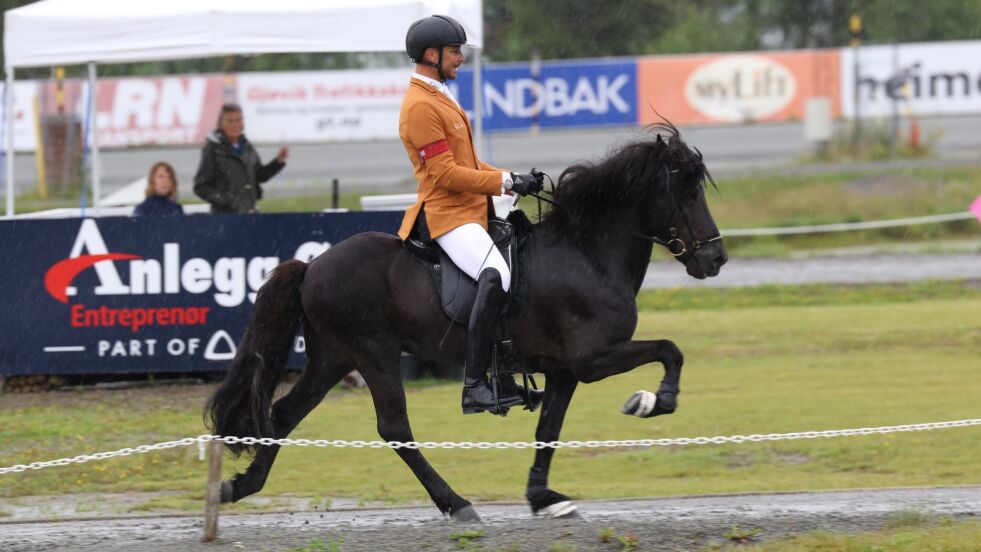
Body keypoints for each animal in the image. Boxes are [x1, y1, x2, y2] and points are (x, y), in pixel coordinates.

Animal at [207, 122, 728, 520]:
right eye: (684, 191)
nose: (717, 258)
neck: (587, 254)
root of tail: (313, 266)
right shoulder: (594, 358)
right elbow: (669, 350)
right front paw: (653, 401)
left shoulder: (563, 370)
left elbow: (549, 430)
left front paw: (543, 498)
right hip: (373, 353)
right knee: (394, 428)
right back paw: (455, 502)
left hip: (333, 357)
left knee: (284, 413)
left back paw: (238, 486)